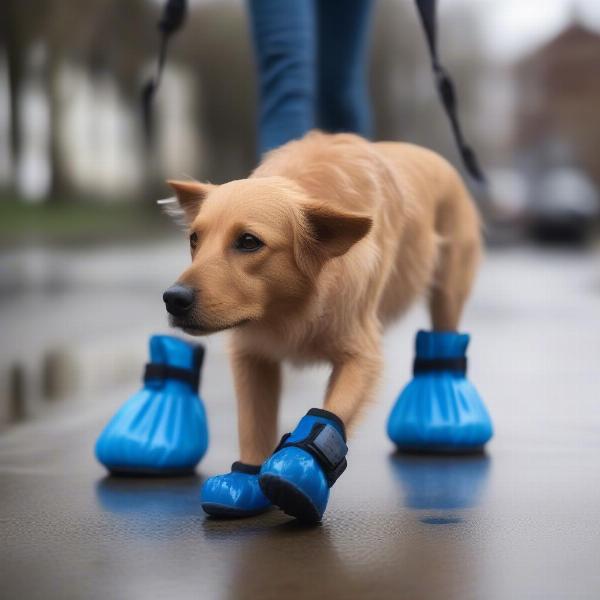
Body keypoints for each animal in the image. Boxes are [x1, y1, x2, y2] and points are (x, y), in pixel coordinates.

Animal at [162, 132, 480, 468]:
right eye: (194, 239)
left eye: (248, 241)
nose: (173, 299)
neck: (291, 309)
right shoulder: (252, 355)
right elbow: (253, 430)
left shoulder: (361, 355)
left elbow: (329, 416)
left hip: (447, 297)